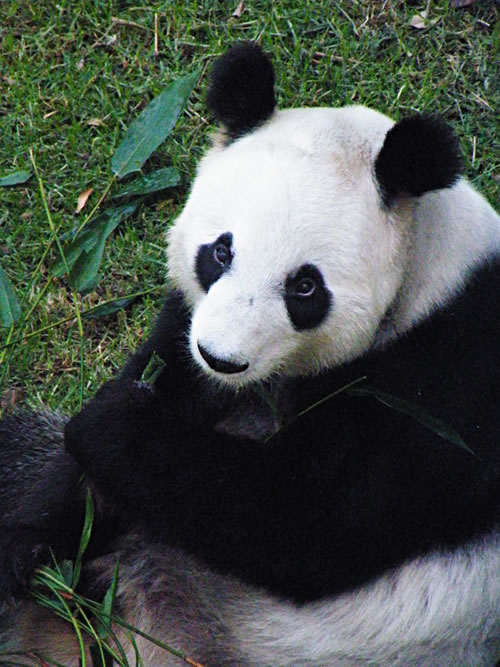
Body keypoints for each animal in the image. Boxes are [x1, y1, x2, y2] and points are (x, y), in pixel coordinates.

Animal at [0, 44, 500, 664]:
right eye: (220, 251)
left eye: (305, 287)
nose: (222, 359)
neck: (428, 275)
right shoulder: (190, 327)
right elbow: (157, 396)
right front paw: (29, 548)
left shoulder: (452, 375)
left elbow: (305, 521)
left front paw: (112, 418)